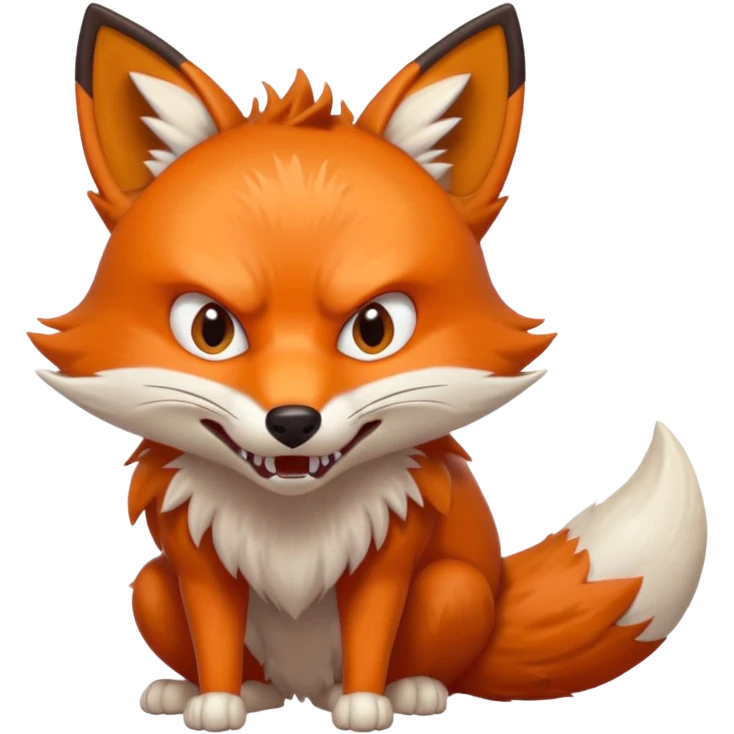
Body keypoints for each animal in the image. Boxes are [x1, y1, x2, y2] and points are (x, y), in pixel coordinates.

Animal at [31, 3, 708, 732]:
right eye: (210, 328)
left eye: (374, 329)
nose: (291, 423)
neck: (294, 524)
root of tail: (302, 686)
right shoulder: (196, 563)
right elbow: (214, 636)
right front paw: (215, 702)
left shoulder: (393, 556)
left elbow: (370, 635)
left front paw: (366, 703)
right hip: (150, 589)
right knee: (226, 649)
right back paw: (224, 692)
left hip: (454, 588)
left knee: (427, 657)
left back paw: (409, 690)